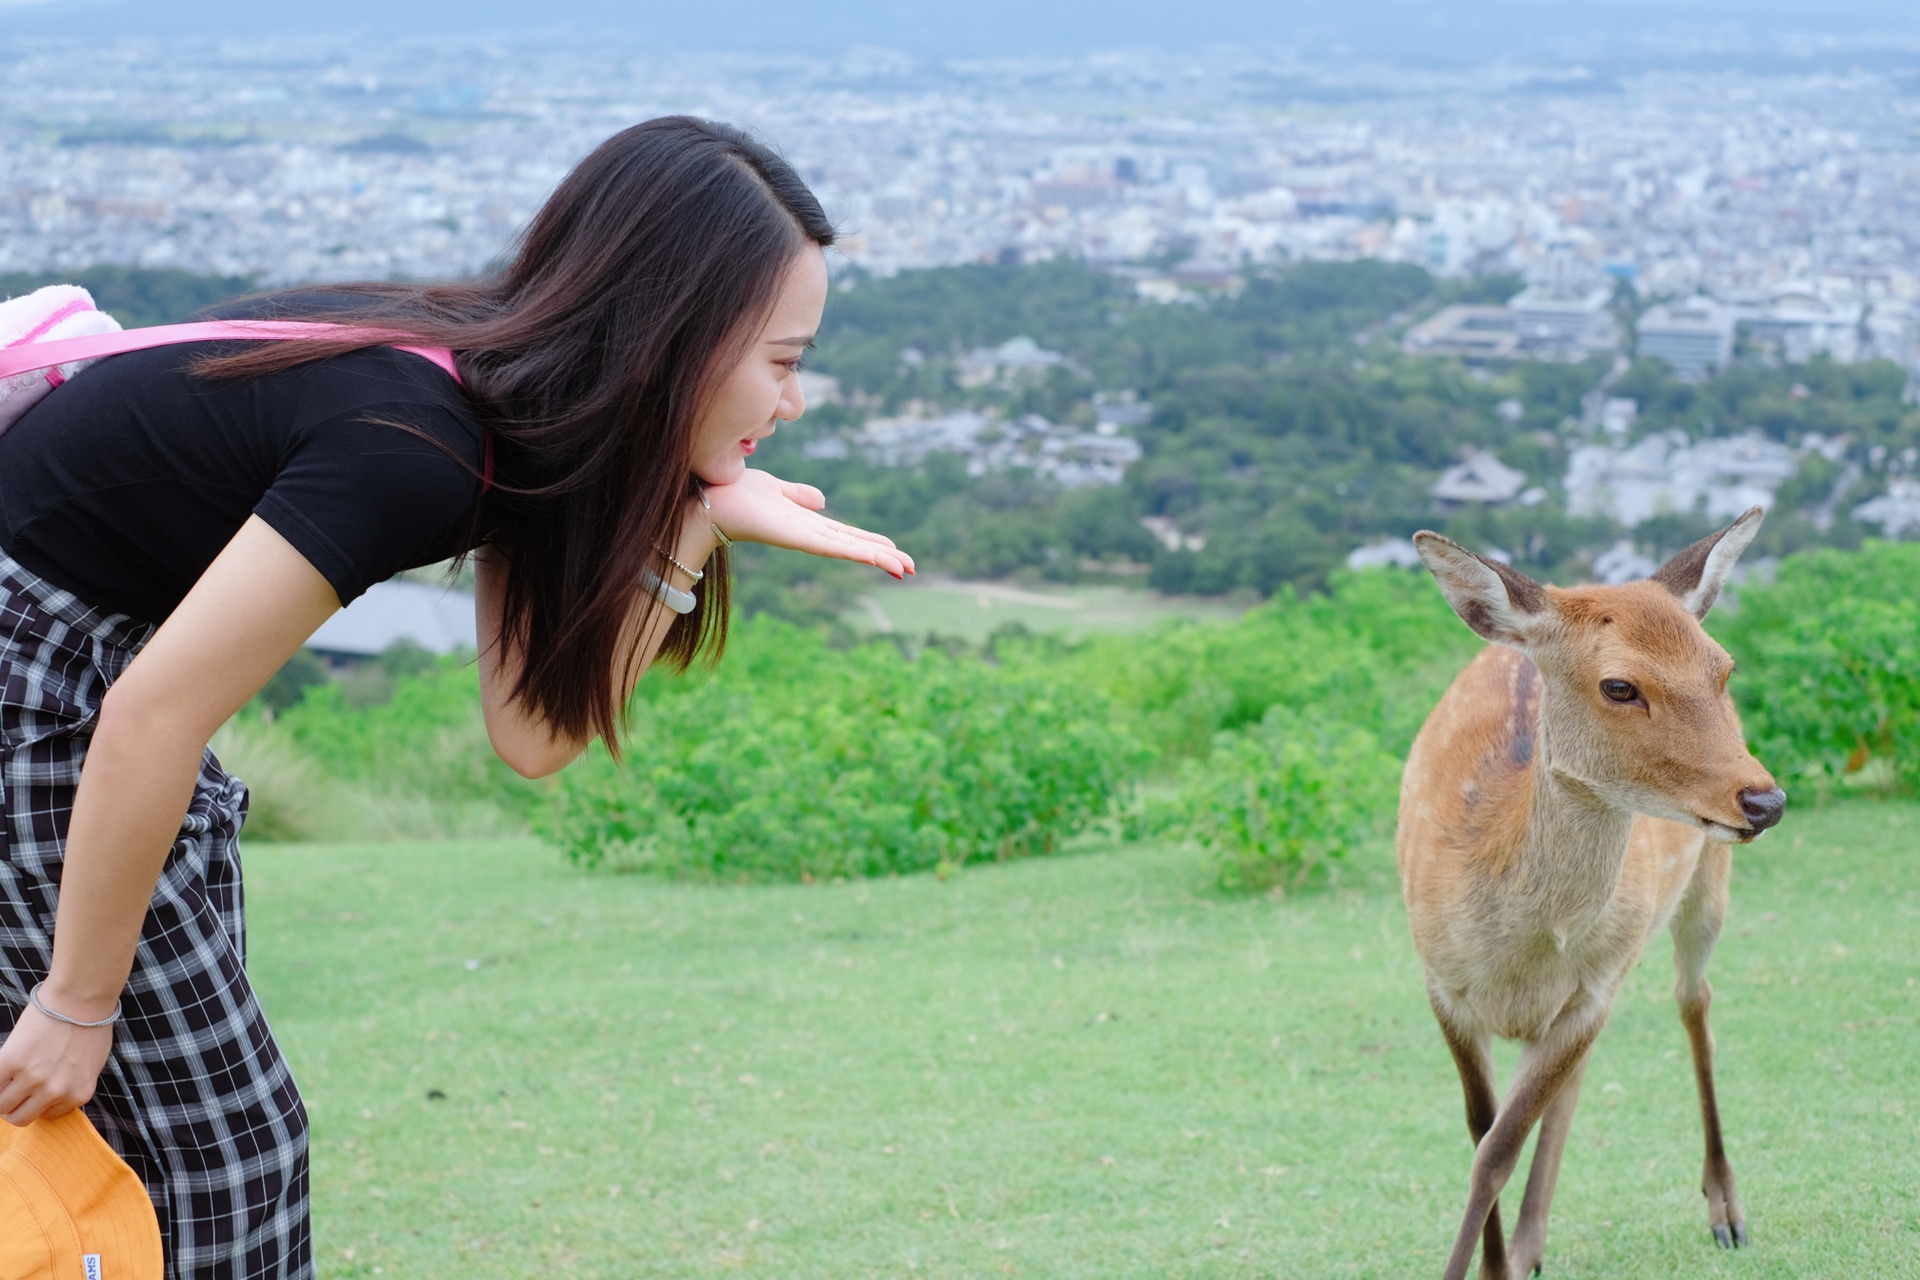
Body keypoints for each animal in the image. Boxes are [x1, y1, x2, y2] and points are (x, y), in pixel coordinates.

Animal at [1397, 510, 1781, 1280]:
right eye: (1619, 686)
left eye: (1723, 669)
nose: (1765, 800)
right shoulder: (1442, 984)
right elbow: (1482, 1129)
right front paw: (1495, 1263)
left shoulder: (1592, 991)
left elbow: (1496, 1151)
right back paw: (1529, 1244)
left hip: (1701, 891)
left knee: (1695, 1003)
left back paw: (1725, 1209)